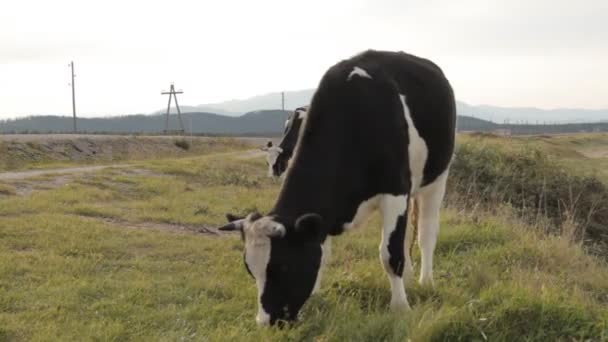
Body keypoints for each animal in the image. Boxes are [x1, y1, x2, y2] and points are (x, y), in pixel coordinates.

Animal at [218, 49, 456, 324]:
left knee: (425, 234)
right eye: (250, 269)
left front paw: (400, 307)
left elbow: (389, 254)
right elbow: (324, 253)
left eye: (283, 266)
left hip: (437, 178)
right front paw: (316, 295)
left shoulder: (395, 191)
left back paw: (426, 281)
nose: (266, 322)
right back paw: (408, 276)